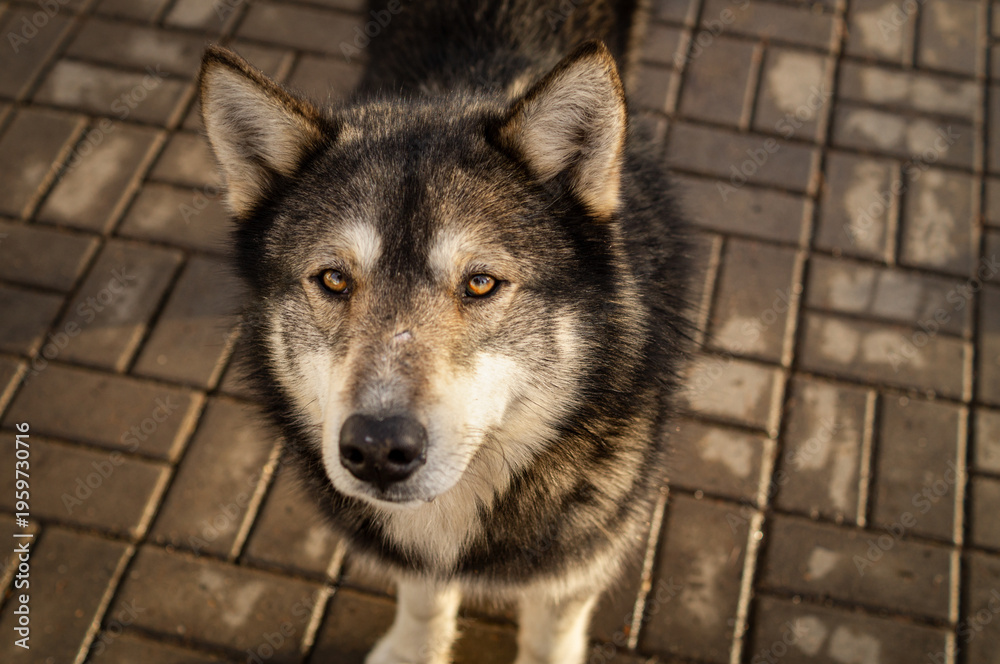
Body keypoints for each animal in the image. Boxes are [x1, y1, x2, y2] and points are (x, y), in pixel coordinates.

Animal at [198, 1, 691, 662]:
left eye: (479, 284)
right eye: (334, 279)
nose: (378, 449)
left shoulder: (578, 563)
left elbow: (549, 634)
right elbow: (425, 600)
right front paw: (414, 650)